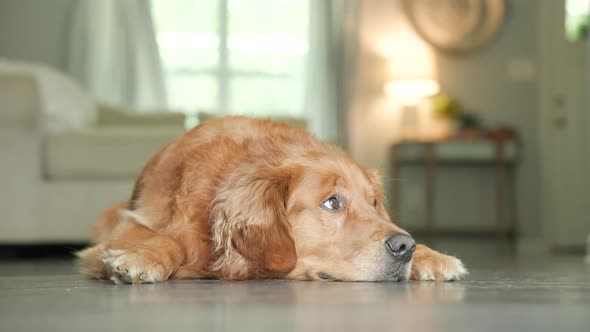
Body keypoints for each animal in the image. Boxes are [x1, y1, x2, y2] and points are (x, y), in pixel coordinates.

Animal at [77, 116, 468, 282]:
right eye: (332, 202)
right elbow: (166, 239)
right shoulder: (131, 226)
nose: (405, 247)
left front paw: (431, 257)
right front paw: (144, 256)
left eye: (374, 203)